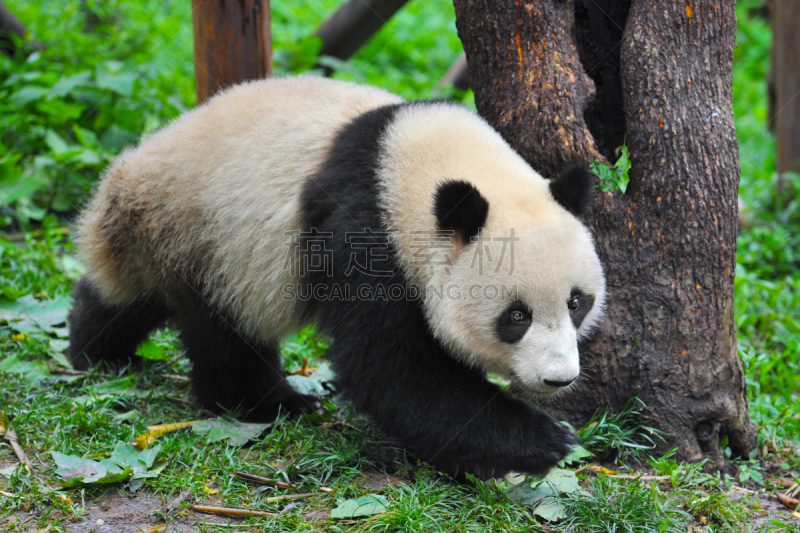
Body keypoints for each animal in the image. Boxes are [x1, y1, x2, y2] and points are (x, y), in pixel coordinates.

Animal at [69, 75, 608, 478]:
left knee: (130, 298)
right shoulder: (365, 232)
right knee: (223, 331)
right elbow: (393, 370)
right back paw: (271, 403)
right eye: (516, 316)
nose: (559, 378)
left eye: (576, 302)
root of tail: (125, 180)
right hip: (207, 238)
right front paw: (545, 439)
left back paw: (96, 349)